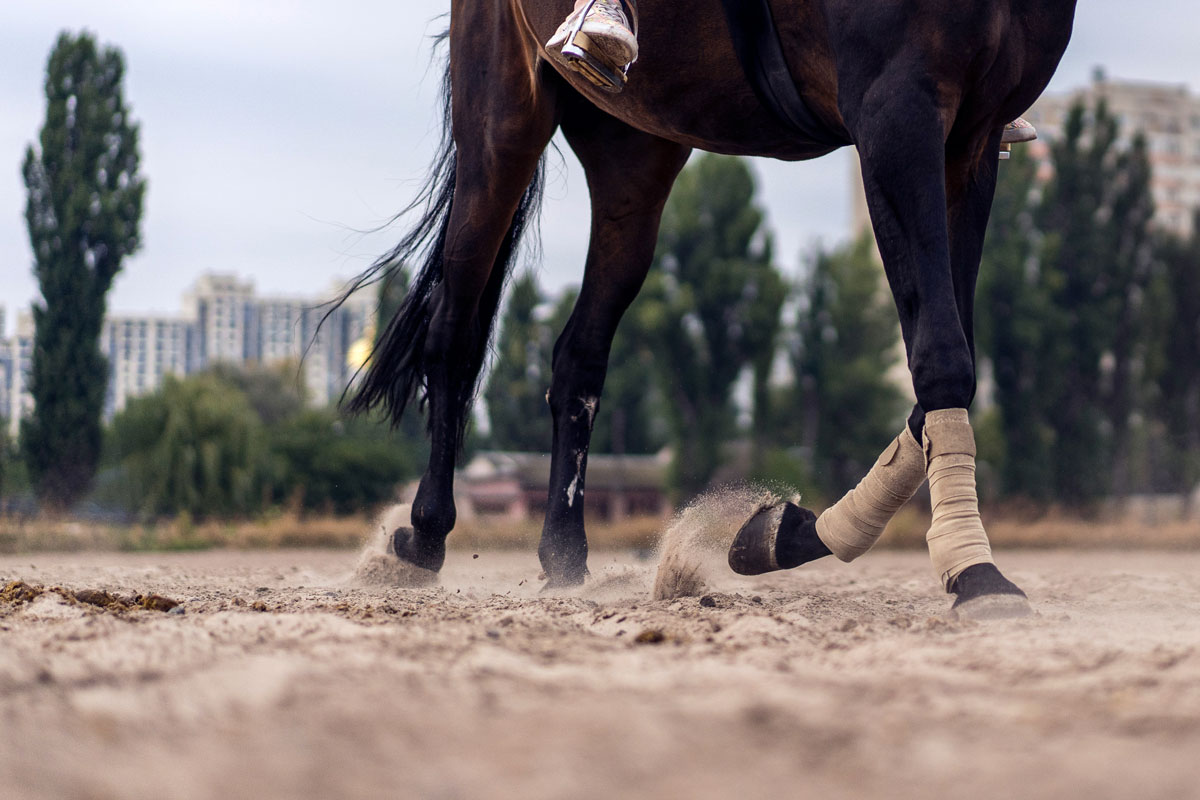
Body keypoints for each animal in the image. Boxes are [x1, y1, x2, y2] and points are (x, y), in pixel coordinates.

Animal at [341, 0, 1078, 616]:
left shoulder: (972, 134)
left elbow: (946, 359)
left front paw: (785, 533)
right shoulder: (897, 107)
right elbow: (943, 354)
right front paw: (975, 573)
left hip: (634, 149)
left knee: (579, 354)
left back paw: (566, 556)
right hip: (503, 123)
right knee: (455, 331)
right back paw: (422, 537)